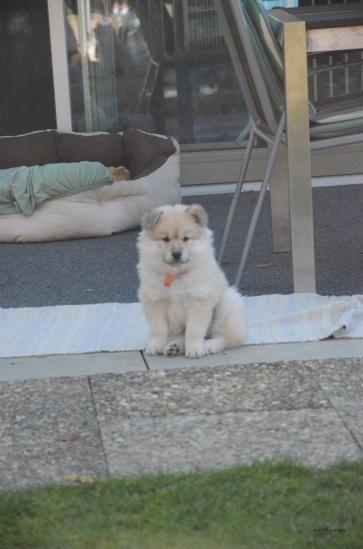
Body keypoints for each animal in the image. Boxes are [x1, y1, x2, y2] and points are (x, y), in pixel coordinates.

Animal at [137, 203, 247, 358]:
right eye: (166, 239)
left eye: (186, 238)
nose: (177, 254)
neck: (176, 274)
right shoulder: (155, 301)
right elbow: (158, 329)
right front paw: (155, 346)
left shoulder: (198, 301)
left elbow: (194, 332)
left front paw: (195, 350)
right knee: (182, 336)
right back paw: (174, 347)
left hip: (228, 304)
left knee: (227, 337)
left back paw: (208, 345)